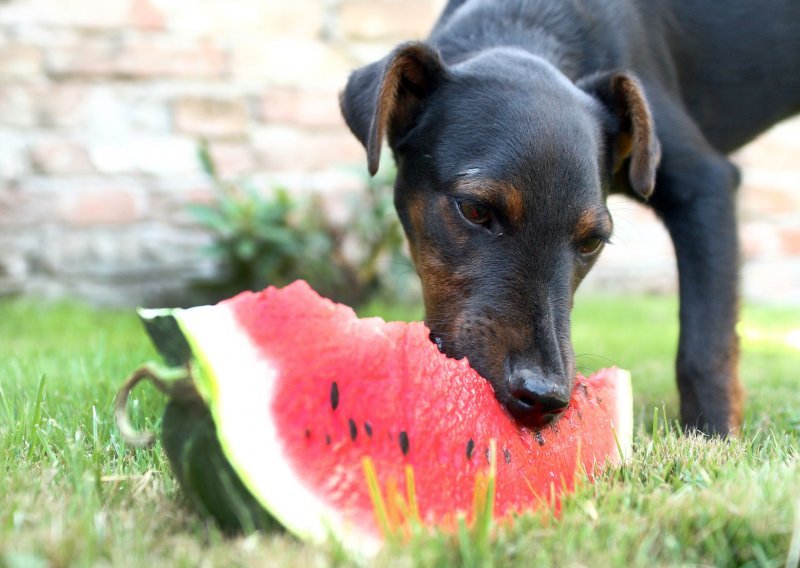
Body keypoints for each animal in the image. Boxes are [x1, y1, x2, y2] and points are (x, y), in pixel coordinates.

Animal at [340, 0, 800, 438]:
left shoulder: (706, 185)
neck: (526, 24)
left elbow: (707, 348)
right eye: (475, 209)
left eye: (592, 241)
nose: (543, 397)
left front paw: (713, 438)